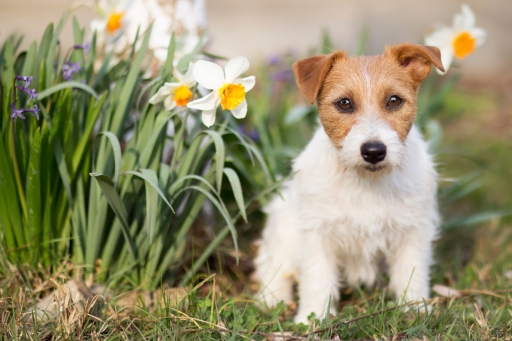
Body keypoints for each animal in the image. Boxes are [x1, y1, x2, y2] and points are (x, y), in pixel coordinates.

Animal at [255, 43, 444, 324]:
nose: (374, 151)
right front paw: (314, 317)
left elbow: (412, 270)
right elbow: (318, 276)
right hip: (283, 226)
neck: (366, 181)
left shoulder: (413, 229)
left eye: (394, 100)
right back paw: (272, 299)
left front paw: (415, 308)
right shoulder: (317, 232)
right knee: (273, 264)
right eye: (344, 103)